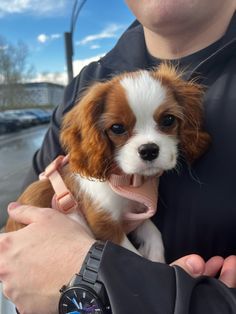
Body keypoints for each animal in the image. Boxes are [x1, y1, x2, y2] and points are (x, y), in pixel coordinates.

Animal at [5, 64, 210, 262]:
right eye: (117, 128)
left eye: (168, 120)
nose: (149, 150)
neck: (127, 180)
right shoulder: (103, 222)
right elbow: (129, 251)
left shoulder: (135, 213)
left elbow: (154, 233)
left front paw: (155, 258)